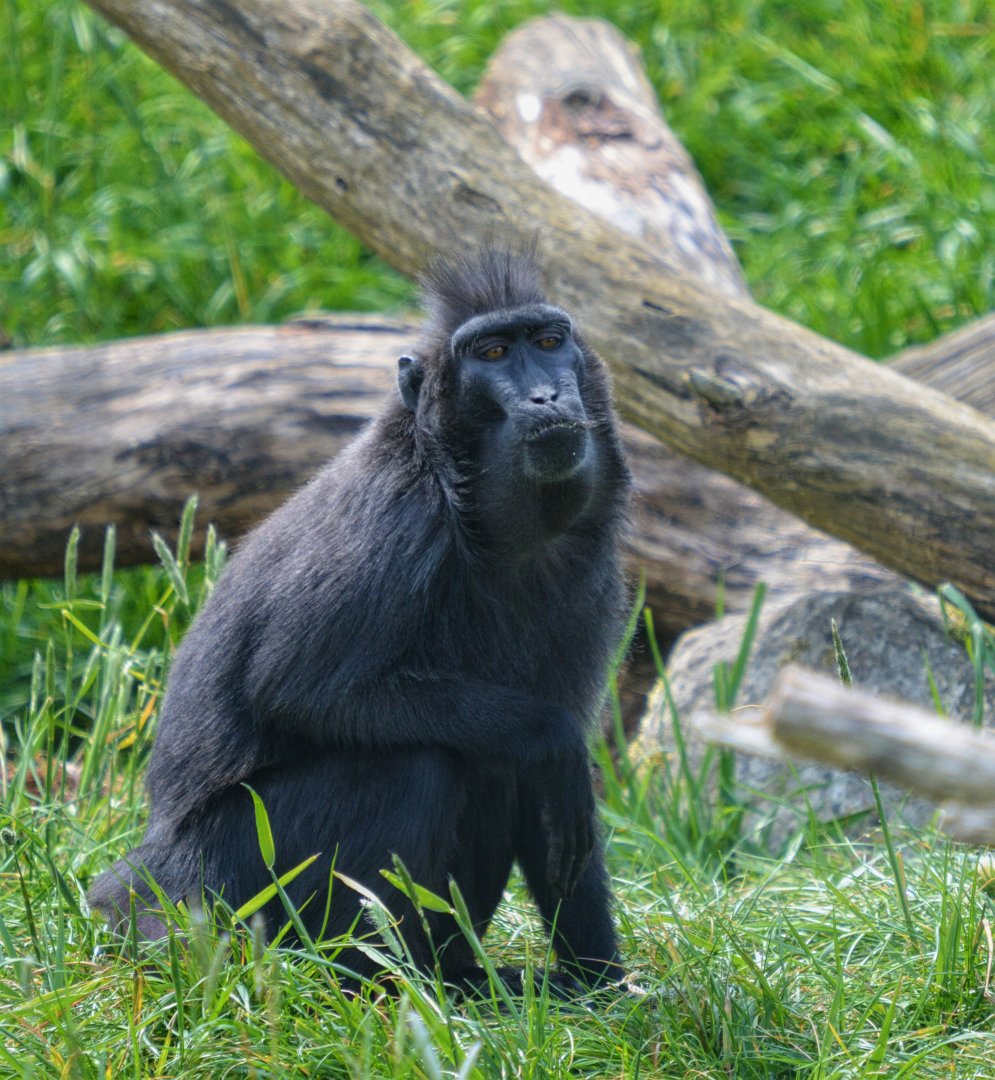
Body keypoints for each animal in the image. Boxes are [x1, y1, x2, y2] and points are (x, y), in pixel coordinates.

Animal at [88, 246, 631, 993]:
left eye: (549, 342)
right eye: (492, 352)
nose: (547, 396)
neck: (485, 524)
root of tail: (153, 875)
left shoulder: (591, 580)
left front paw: (600, 986)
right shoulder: (398, 517)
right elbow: (299, 689)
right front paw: (551, 741)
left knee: (491, 765)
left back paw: (457, 977)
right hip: (239, 876)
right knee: (423, 760)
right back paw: (368, 979)